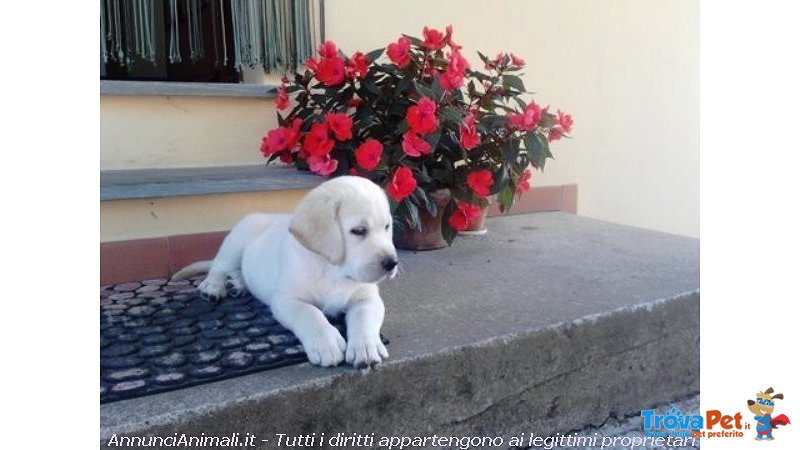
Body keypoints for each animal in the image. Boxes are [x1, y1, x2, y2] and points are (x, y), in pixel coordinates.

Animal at [175, 174, 400, 368]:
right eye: (359, 231)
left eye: (387, 227)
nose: (392, 263)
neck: (332, 271)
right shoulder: (286, 299)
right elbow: (309, 313)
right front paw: (326, 343)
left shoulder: (366, 297)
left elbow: (364, 317)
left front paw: (366, 347)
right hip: (237, 238)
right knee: (219, 266)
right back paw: (213, 286)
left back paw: (237, 284)